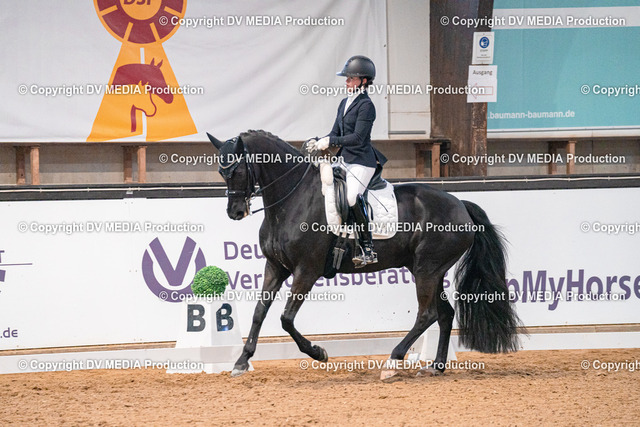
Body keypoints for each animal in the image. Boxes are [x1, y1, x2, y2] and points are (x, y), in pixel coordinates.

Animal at [208, 129, 521, 379]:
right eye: (222, 173)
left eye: (236, 171)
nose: (235, 212)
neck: (292, 200)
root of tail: (460, 205)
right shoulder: (275, 267)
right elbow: (259, 313)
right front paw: (241, 362)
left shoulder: (306, 270)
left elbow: (286, 318)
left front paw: (318, 352)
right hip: (432, 270)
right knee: (444, 314)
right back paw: (436, 366)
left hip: (427, 270)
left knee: (427, 314)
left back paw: (393, 362)